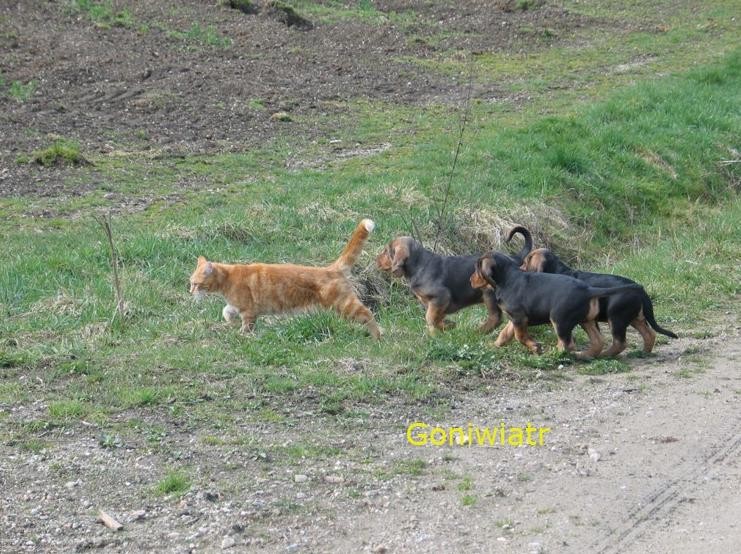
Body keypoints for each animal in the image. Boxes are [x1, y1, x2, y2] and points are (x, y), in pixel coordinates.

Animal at [189, 219, 381, 339]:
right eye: (190, 283)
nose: (190, 292)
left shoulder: (249, 311)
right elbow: (226, 312)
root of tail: (331, 269)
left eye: (195, 284)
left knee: (368, 314)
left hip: (345, 304)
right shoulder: (236, 306)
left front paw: (242, 335)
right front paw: (230, 321)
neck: (228, 277)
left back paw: (377, 337)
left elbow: (246, 325)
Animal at [376, 227, 533, 334]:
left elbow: (430, 318)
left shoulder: (441, 296)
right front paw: (443, 328)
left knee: (496, 317)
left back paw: (478, 332)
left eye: (386, 251)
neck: (419, 265)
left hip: (488, 293)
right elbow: (435, 318)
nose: (375, 259)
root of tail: (513, 259)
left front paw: (444, 328)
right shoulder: (434, 304)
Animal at [471, 252, 643, 358]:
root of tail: (588, 290)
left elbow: (519, 336)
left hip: (559, 319)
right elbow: (505, 333)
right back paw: (584, 356)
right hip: (586, 320)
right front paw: (494, 345)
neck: (507, 278)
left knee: (567, 344)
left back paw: (553, 355)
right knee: (597, 341)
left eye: (477, 267)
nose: (470, 280)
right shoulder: (515, 319)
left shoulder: (519, 317)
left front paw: (535, 347)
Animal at [518, 246, 678, 356]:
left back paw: (605, 355)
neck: (558, 270)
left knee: (620, 343)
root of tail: (641, 291)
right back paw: (642, 353)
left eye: (526, 262)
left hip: (616, 317)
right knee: (649, 334)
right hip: (635, 317)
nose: (518, 269)